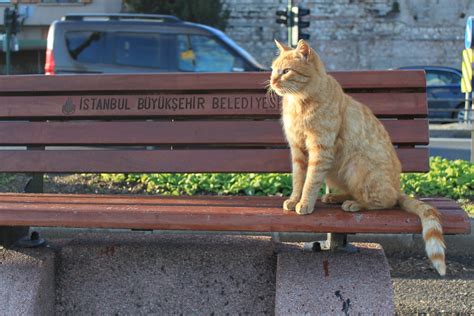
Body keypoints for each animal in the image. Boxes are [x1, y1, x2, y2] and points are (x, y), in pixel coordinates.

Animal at [272, 40, 446, 276]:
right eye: (273, 69)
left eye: (286, 71)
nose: (272, 81)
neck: (299, 102)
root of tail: (398, 187)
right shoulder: (298, 151)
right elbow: (299, 179)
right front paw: (293, 200)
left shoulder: (320, 150)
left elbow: (310, 182)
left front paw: (305, 204)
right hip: (337, 172)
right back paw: (335, 197)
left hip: (357, 165)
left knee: (386, 201)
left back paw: (354, 204)